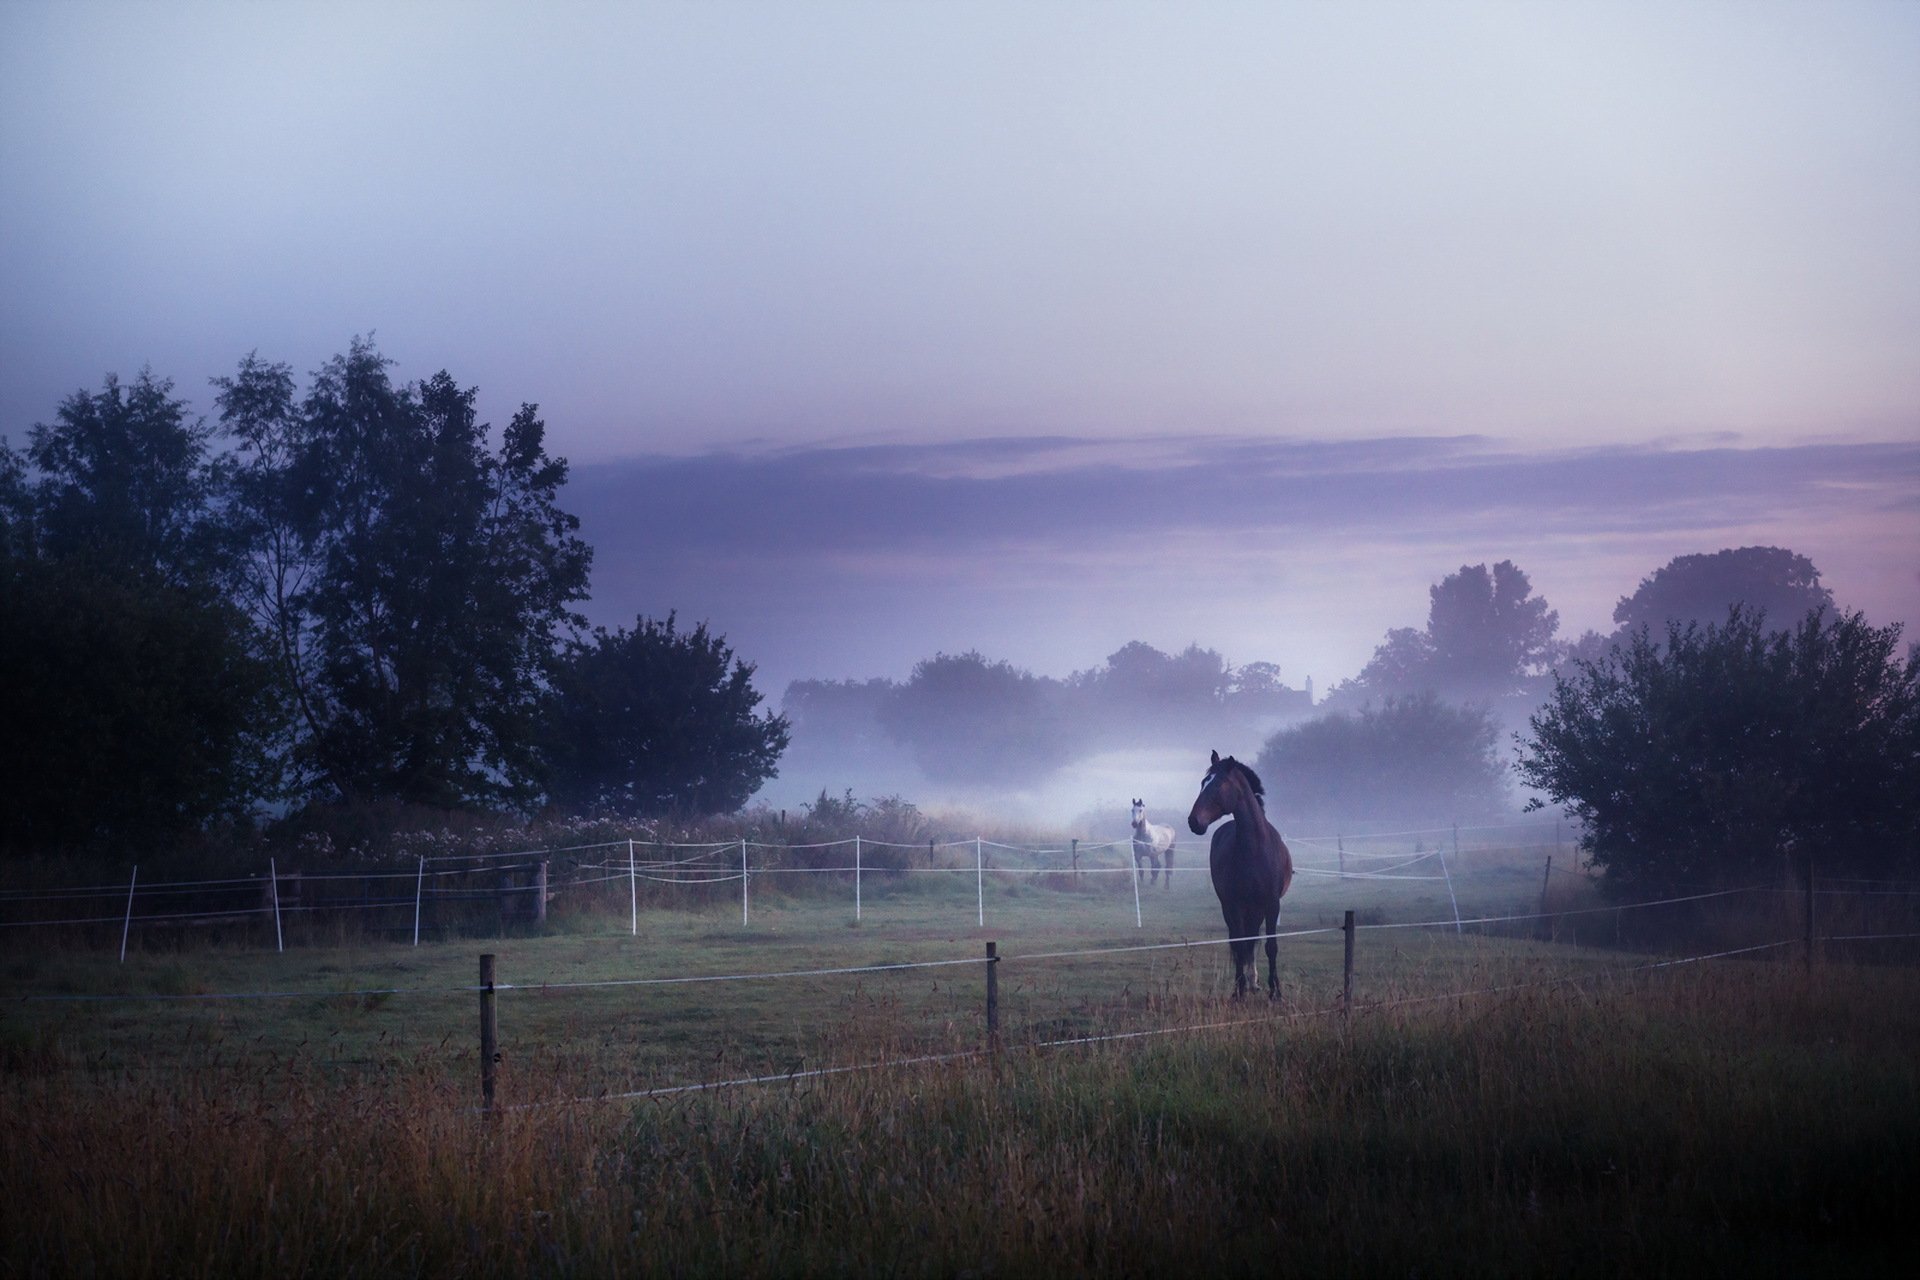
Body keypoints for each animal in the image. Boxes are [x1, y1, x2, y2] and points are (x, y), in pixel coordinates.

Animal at [1175, 752, 1297, 997]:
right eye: (1203, 783)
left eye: (1219, 784)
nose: (1194, 822)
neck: (1255, 849)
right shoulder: (1235, 904)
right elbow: (1240, 944)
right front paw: (1238, 990)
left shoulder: (1272, 903)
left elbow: (1270, 946)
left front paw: (1275, 991)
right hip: (1233, 907)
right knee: (1240, 940)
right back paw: (1247, 982)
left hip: (1257, 907)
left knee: (1253, 938)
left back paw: (1254, 981)